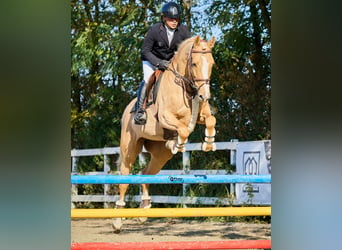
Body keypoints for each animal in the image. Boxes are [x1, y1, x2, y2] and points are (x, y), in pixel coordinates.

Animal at [113, 35, 218, 232]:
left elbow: (210, 120)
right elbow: (183, 129)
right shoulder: (165, 117)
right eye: (194, 63)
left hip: (161, 155)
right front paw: (178, 144)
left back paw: (144, 209)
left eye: (212, 63)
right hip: (130, 149)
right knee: (124, 178)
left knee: (145, 173)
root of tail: (126, 110)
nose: (204, 96)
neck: (186, 87)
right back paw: (117, 219)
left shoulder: (201, 115)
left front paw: (208, 143)